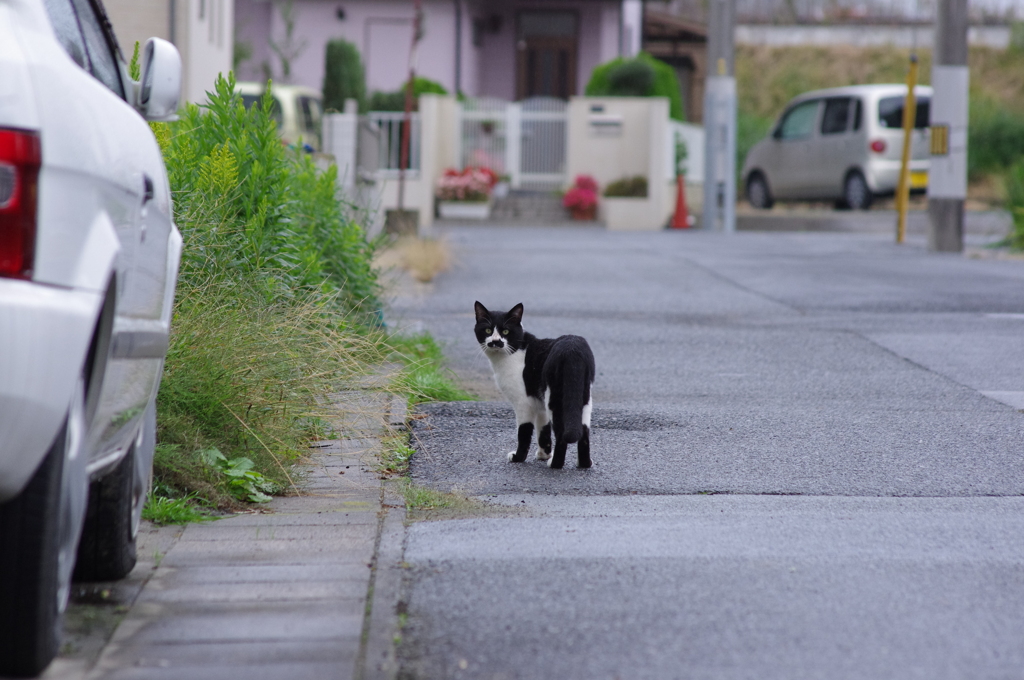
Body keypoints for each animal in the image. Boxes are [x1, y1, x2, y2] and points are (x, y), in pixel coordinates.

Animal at [468, 301, 593, 466]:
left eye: (506, 331)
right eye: (488, 330)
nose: (495, 341)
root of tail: (572, 349)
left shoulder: (523, 403)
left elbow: (524, 432)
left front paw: (518, 458)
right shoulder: (539, 403)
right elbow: (543, 430)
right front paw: (543, 454)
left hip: (555, 399)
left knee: (561, 433)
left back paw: (554, 464)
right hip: (583, 396)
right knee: (584, 431)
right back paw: (584, 464)